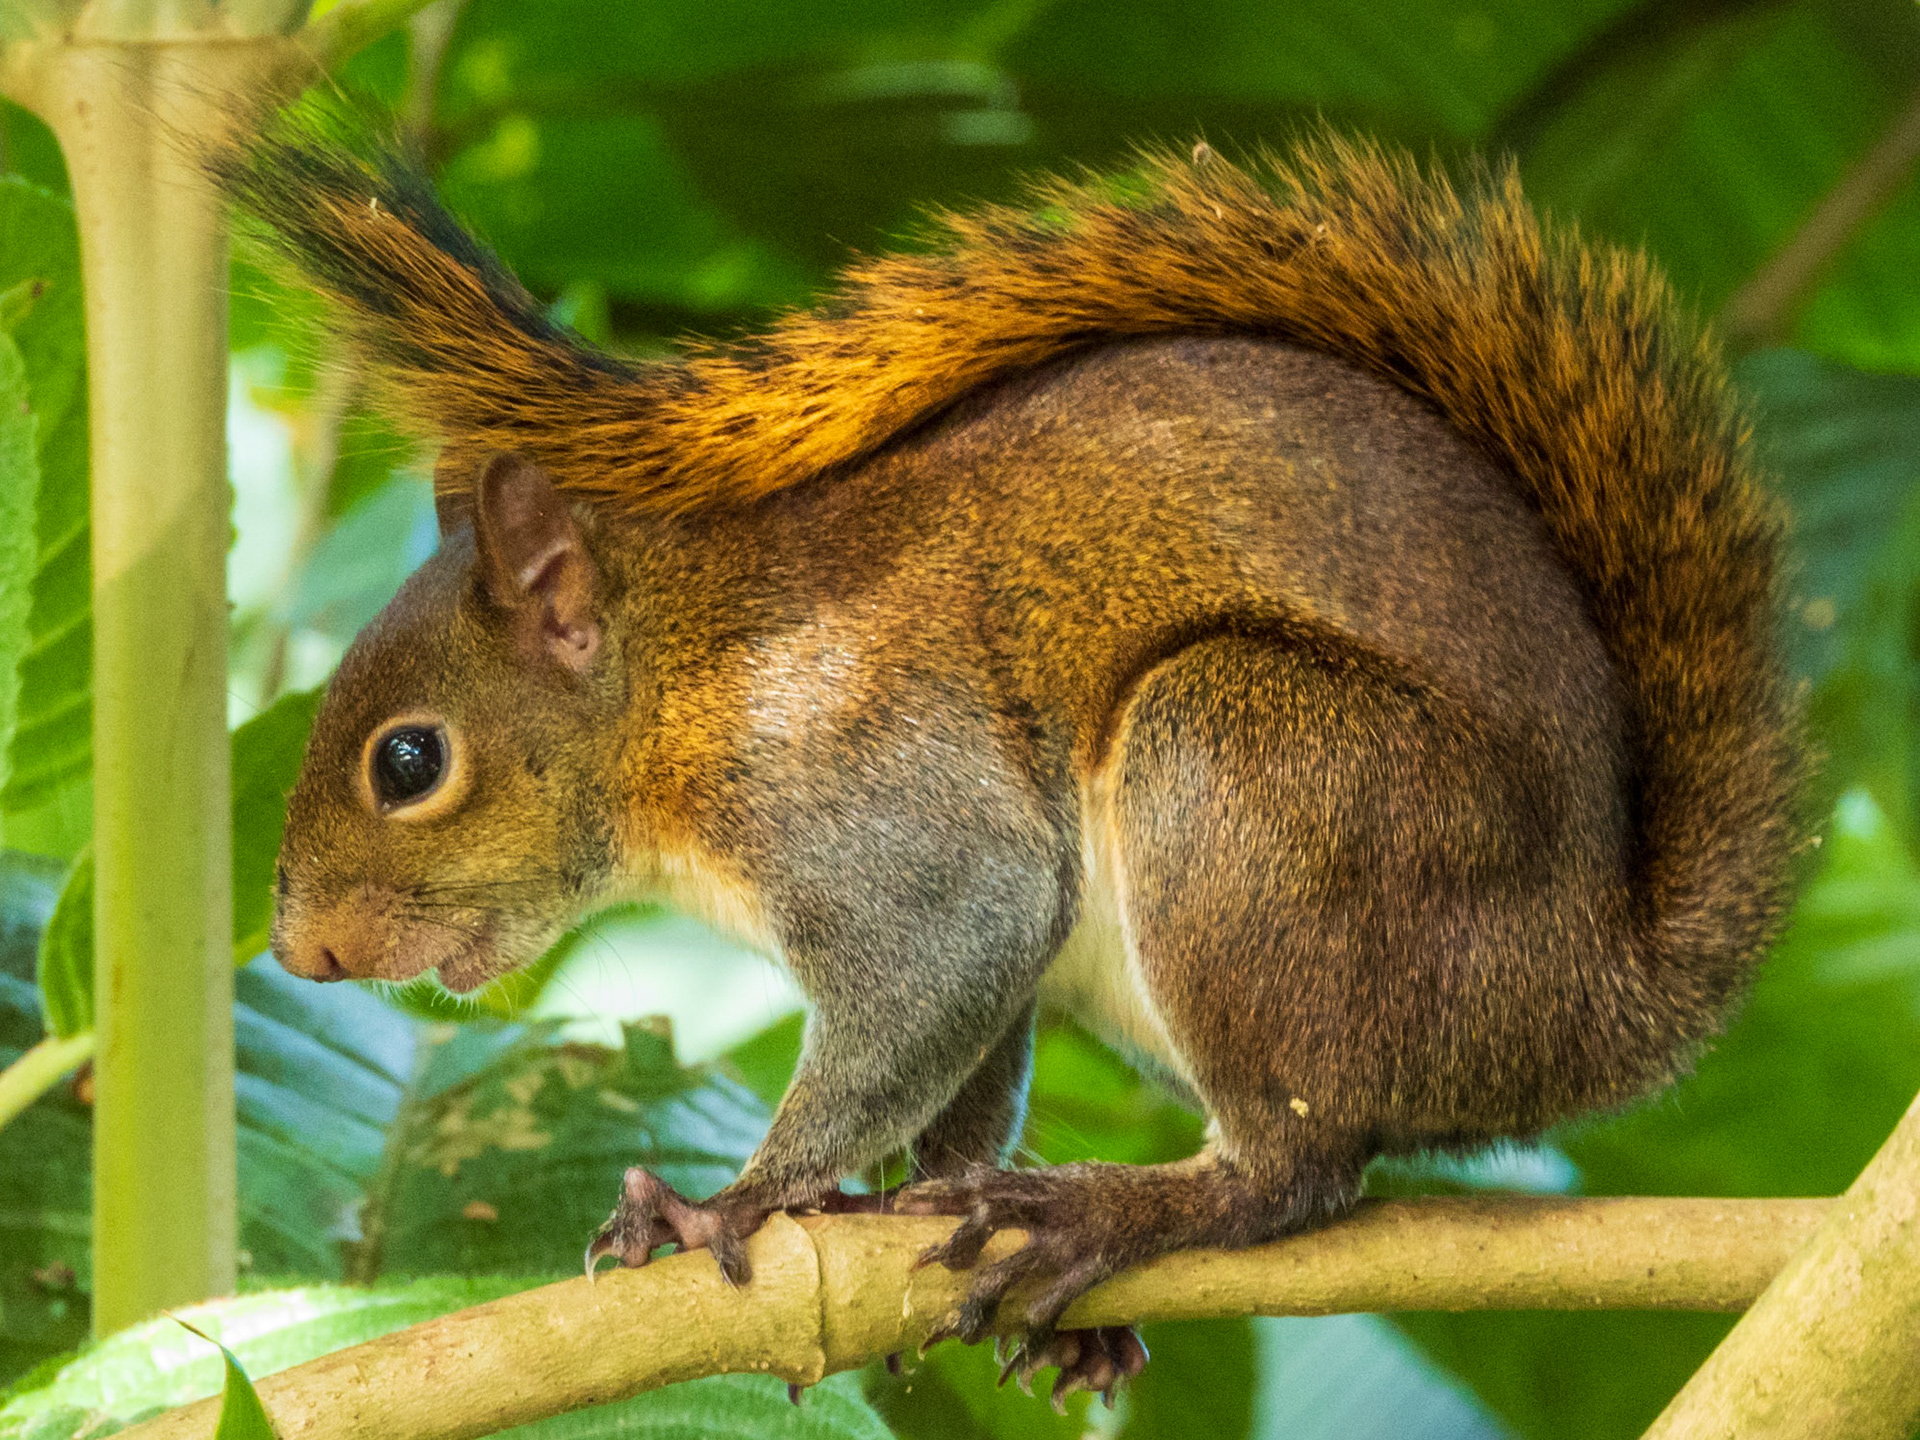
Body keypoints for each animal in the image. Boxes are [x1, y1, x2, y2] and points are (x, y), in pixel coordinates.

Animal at [222, 104, 1805, 1405]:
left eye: (409, 763)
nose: (301, 953)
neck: (686, 677)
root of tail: (1605, 987)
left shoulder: (870, 788)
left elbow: (941, 968)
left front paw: (731, 1207)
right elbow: (967, 1065)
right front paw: (890, 1206)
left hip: (1247, 768)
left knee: (1297, 1174)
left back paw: (1121, 1212)